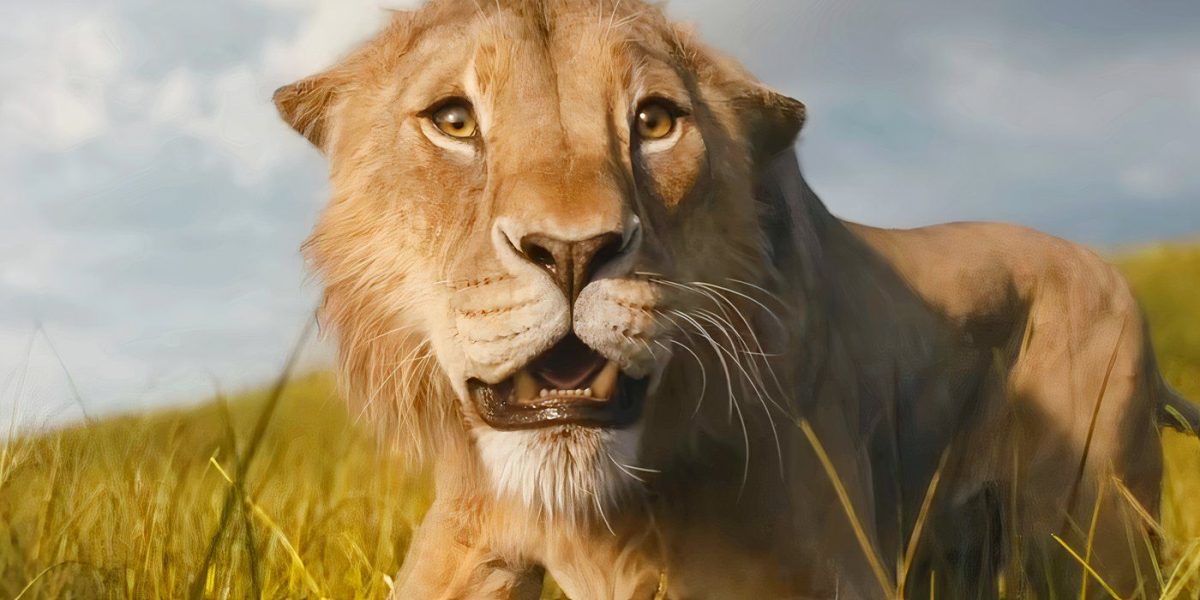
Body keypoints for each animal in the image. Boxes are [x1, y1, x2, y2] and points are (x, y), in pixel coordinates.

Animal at [273, 1, 1200, 598]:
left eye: (654, 122)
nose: (572, 253)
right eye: (454, 121)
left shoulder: (823, 566)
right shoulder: (472, 528)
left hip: (1094, 529)